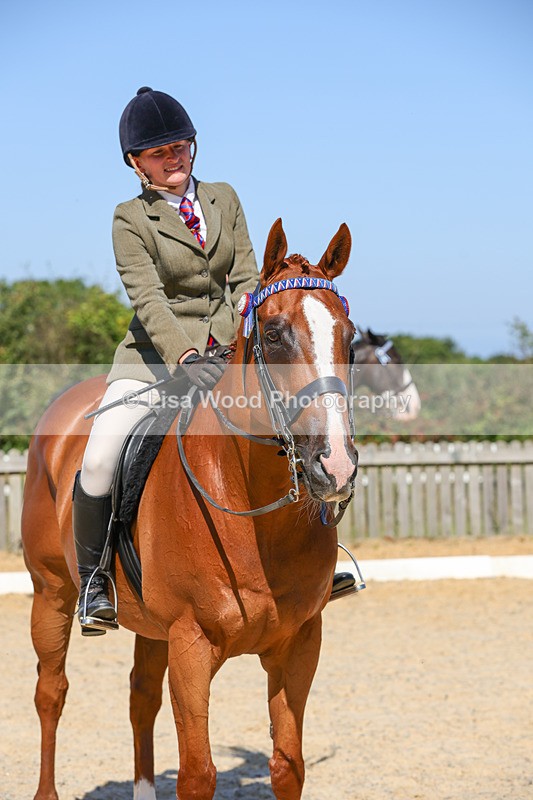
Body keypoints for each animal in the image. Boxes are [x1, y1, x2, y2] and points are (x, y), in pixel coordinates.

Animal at [21, 219, 359, 800]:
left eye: (350, 336)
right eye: (274, 334)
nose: (333, 465)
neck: (255, 515)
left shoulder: (300, 644)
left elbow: (287, 766)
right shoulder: (191, 646)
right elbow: (198, 773)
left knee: (139, 697)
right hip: (52, 593)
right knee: (52, 692)